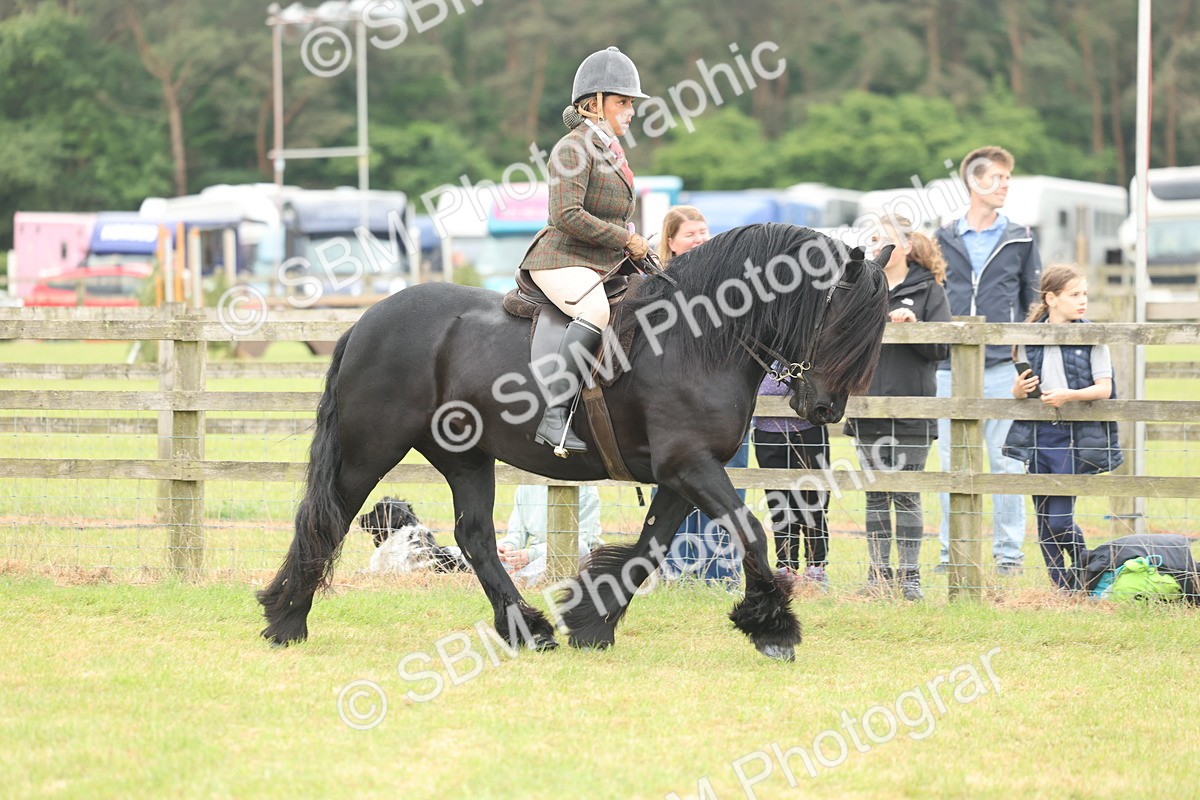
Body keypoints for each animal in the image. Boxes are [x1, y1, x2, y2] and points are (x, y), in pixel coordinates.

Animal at [258, 223, 890, 661]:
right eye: (839, 320)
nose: (825, 409)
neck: (695, 337)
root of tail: (367, 320)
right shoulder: (690, 465)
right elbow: (750, 531)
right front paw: (774, 628)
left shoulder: (683, 473)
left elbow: (649, 547)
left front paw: (591, 622)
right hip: (372, 449)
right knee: (330, 517)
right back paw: (287, 618)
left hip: (465, 457)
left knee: (474, 537)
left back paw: (527, 629)